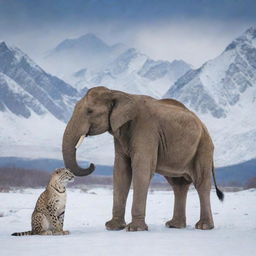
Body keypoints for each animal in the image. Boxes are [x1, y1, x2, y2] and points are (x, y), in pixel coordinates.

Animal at [61, 86, 222, 232]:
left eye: (90, 111)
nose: (91, 164)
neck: (117, 93)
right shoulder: (120, 135)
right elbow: (121, 171)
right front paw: (113, 227)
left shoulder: (146, 129)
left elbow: (141, 170)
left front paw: (135, 229)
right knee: (178, 185)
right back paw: (174, 225)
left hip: (203, 148)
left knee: (201, 182)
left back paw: (203, 227)